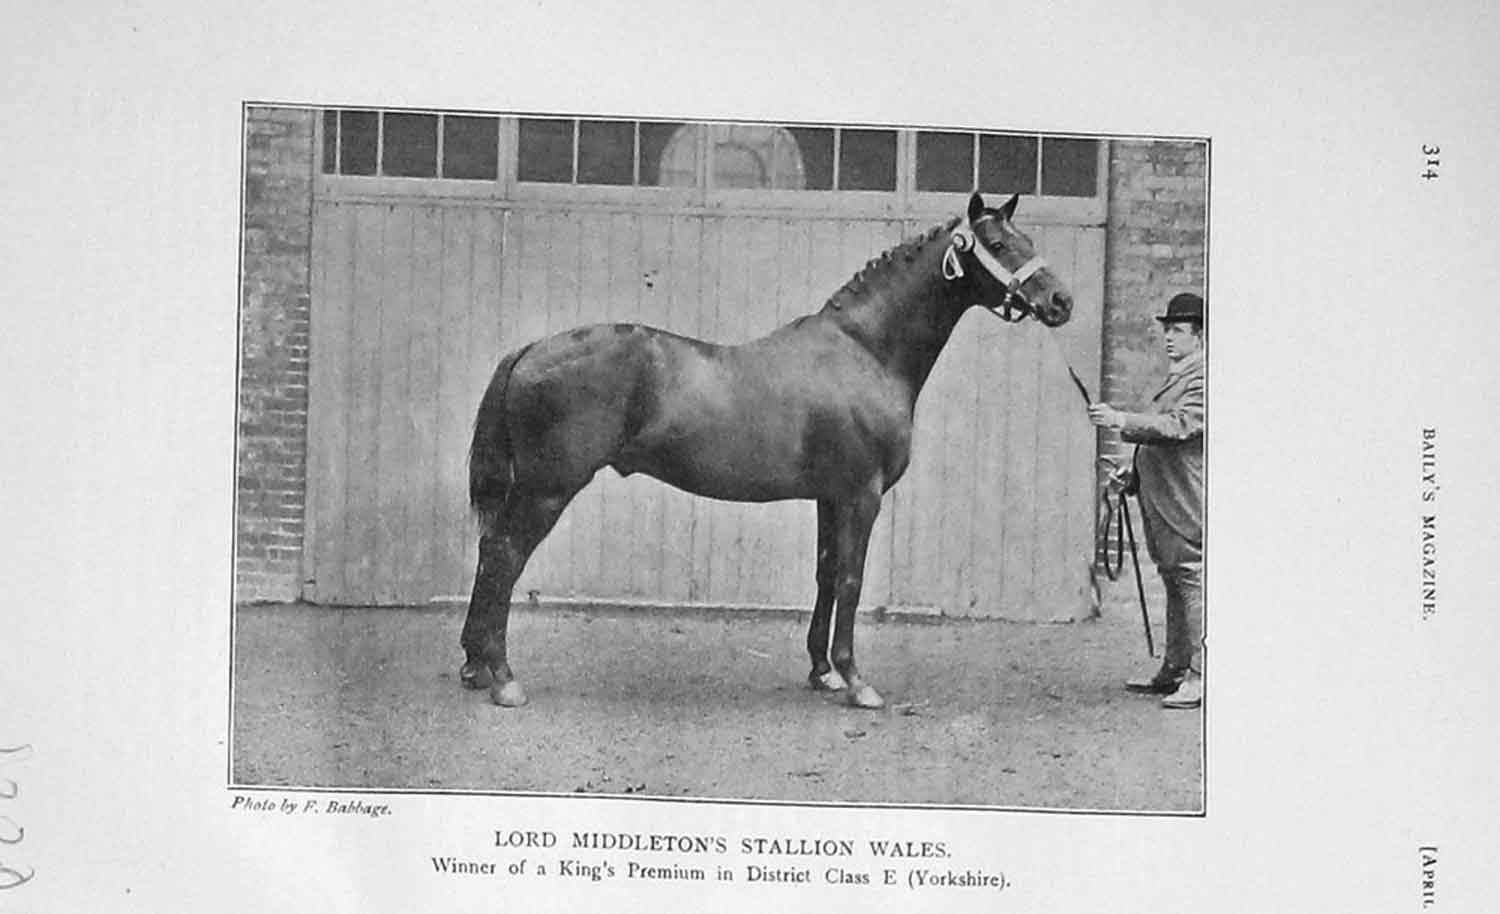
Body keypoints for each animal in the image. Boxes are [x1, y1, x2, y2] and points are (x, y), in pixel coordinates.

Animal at [460, 192, 1074, 709]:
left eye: (1028, 239)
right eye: (998, 245)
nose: (1060, 301)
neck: (865, 351)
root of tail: (532, 348)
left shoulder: (831, 497)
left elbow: (826, 574)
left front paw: (823, 671)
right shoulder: (862, 496)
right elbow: (851, 580)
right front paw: (857, 682)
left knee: (490, 551)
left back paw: (475, 666)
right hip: (548, 488)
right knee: (505, 556)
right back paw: (505, 679)